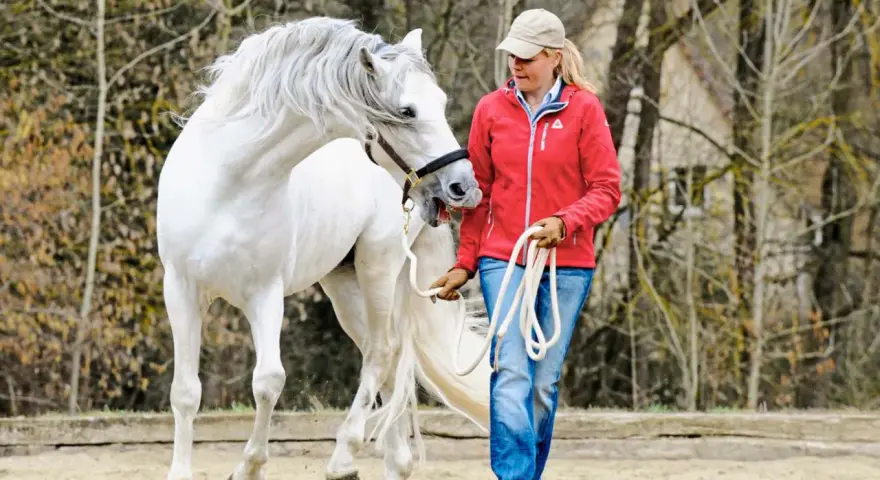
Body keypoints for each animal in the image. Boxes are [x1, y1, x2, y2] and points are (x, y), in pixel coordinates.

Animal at [156, 17, 483, 480]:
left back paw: (344, 456)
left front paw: (249, 466)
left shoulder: (265, 294)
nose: (463, 186)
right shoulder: (181, 290)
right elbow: (186, 391)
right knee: (382, 362)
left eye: (440, 102)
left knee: (382, 352)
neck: (229, 178)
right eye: (407, 111)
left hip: (378, 267)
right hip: (344, 284)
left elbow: (268, 381)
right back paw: (392, 460)